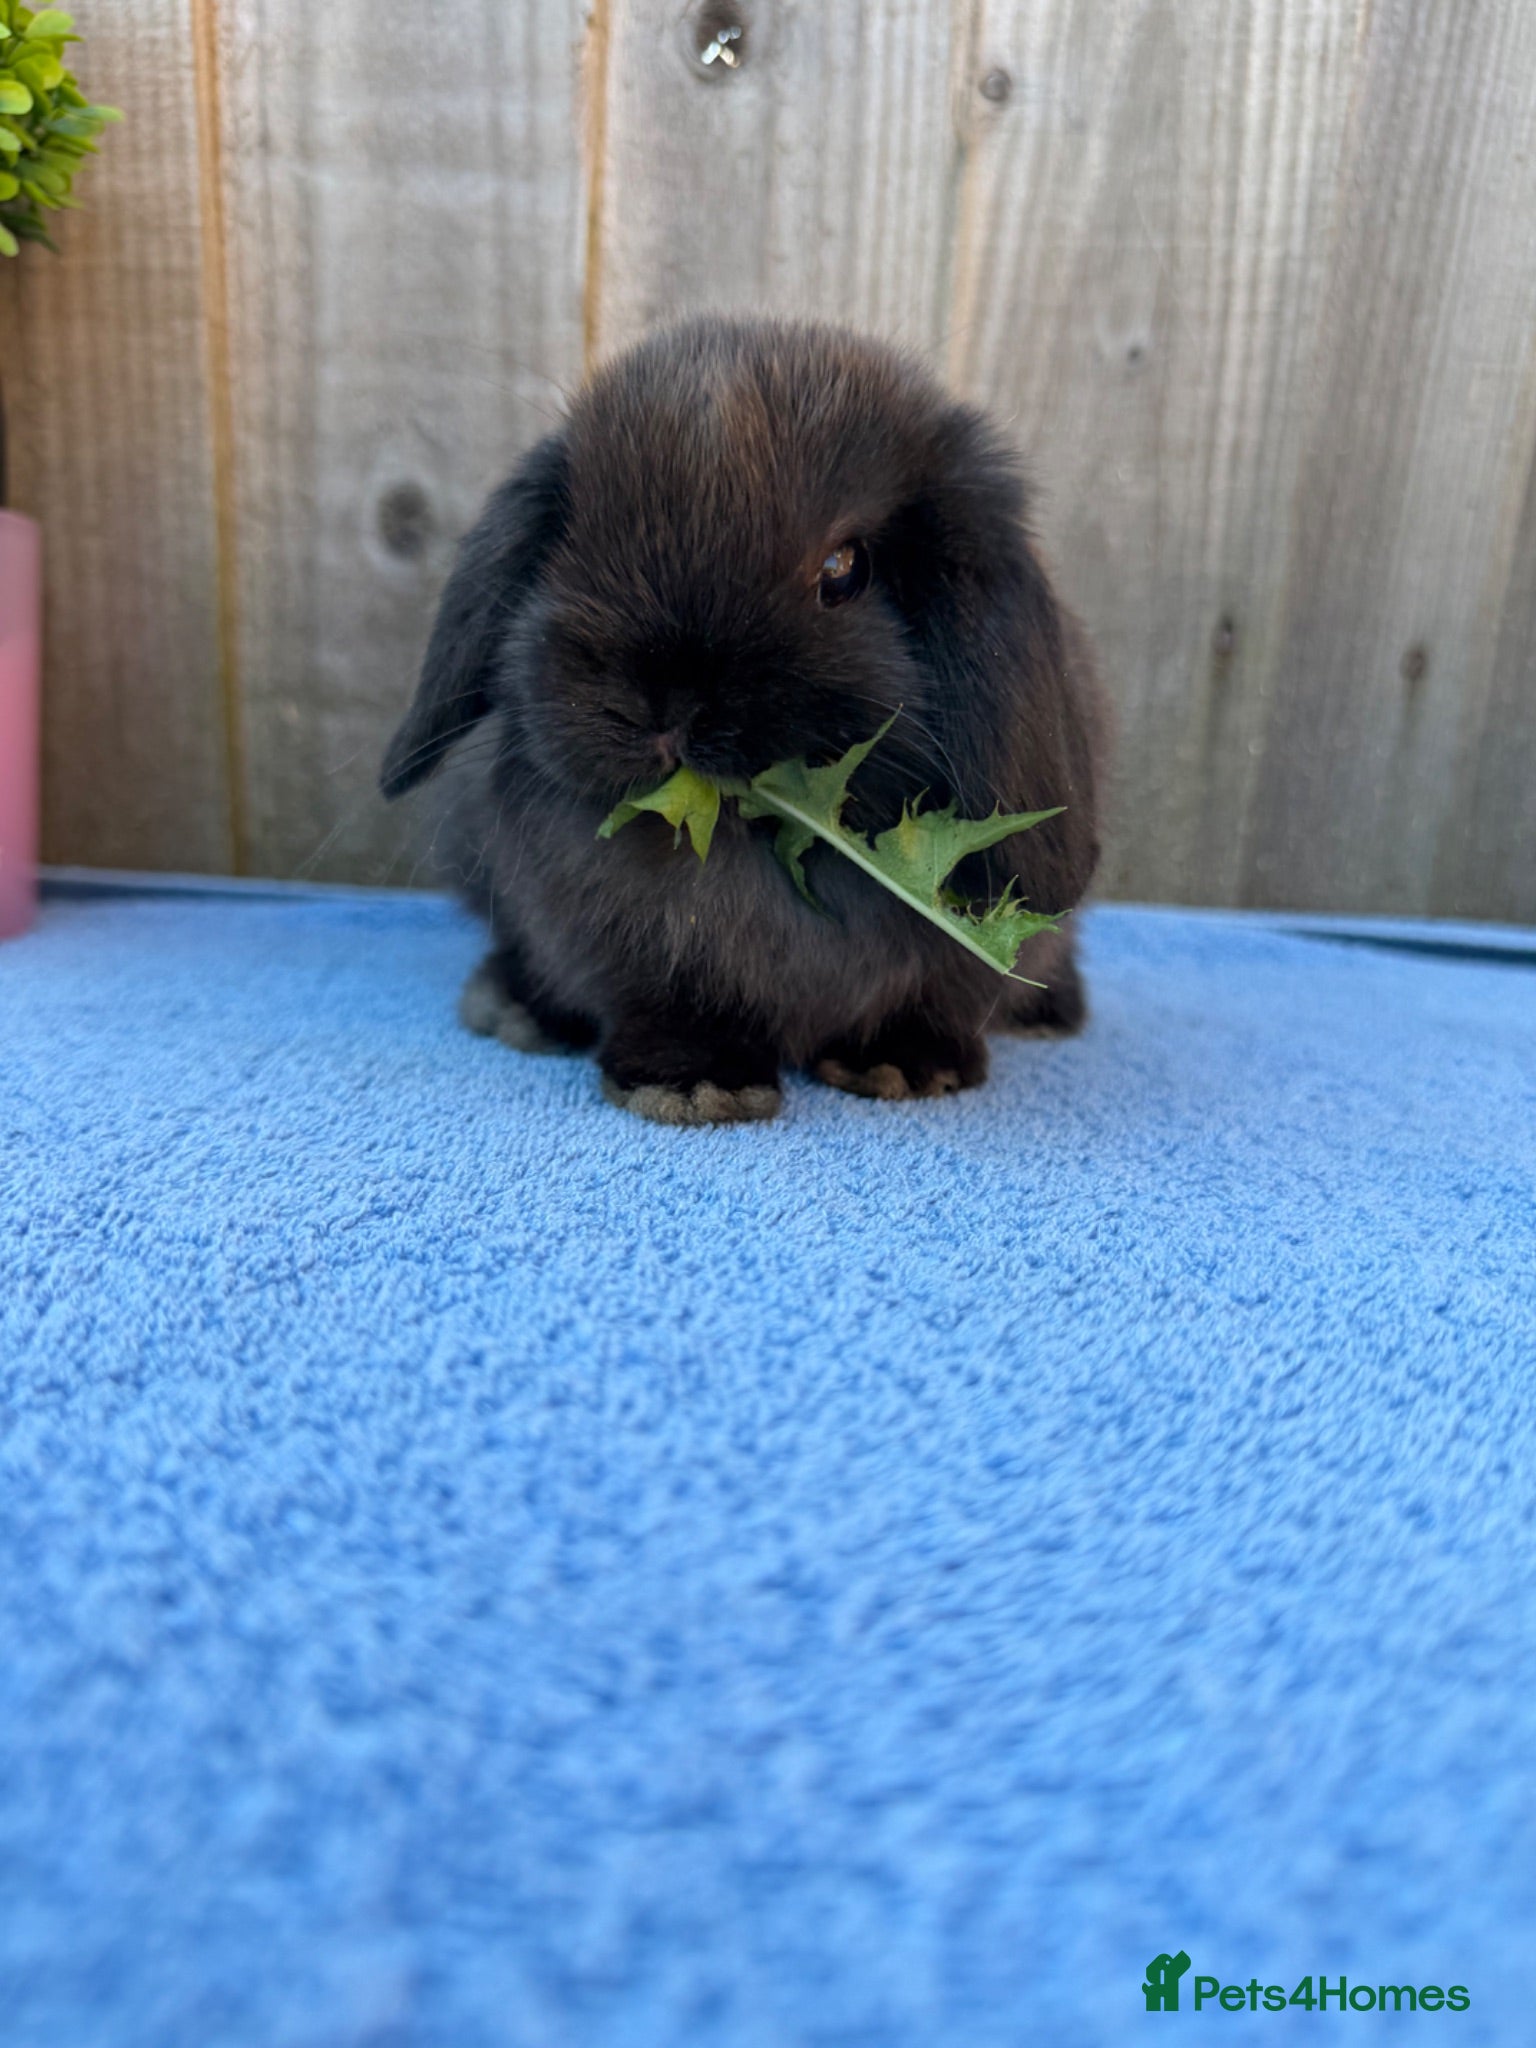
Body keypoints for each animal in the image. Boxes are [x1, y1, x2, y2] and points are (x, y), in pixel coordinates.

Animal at [381, 316, 1109, 1126]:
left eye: (844, 569)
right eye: (568, 537)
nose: (664, 701)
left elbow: (937, 1002)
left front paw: (905, 1064)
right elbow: (668, 1009)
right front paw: (695, 1082)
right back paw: (515, 1007)